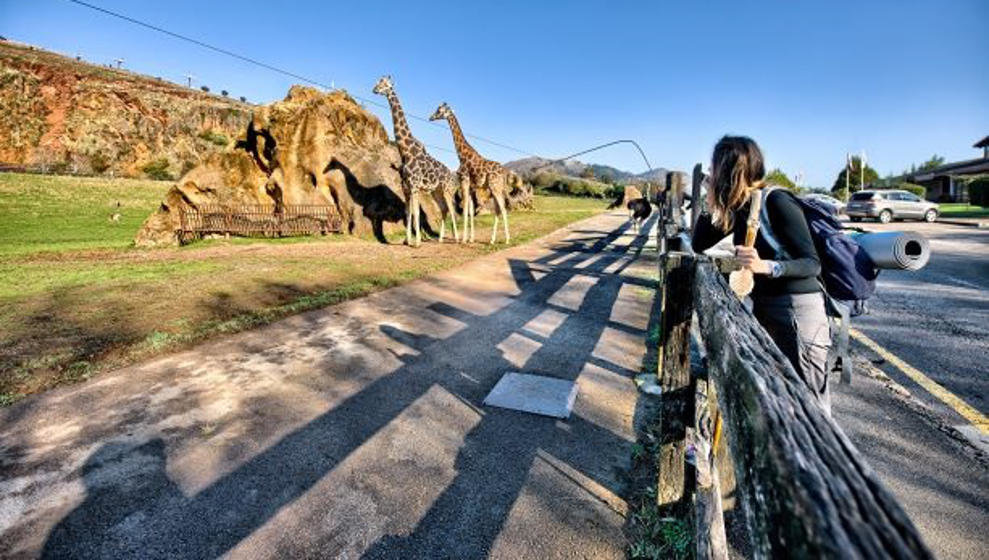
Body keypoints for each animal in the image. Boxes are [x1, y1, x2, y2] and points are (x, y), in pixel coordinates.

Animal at [372, 75, 462, 246]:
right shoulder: (406, 188)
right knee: (443, 209)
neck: (406, 151)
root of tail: (451, 175)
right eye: (378, 82)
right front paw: (407, 240)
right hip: (436, 191)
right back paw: (441, 239)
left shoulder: (414, 187)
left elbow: (416, 212)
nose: (374, 90)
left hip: (446, 190)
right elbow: (408, 213)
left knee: (452, 210)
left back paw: (458, 238)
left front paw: (417, 242)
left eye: (385, 84)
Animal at [430, 103, 512, 243]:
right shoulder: (470, 185)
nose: (431, 117)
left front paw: (463, 239)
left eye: (440, 110)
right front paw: (470, 238)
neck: (462, 156)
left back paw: (506, 240)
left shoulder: (464, 180)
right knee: (497, 209)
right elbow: (470, 209)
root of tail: (504, 173)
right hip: (497, 187)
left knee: (502, 209)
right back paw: (492, 240)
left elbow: (465, 210)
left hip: (495, 186)